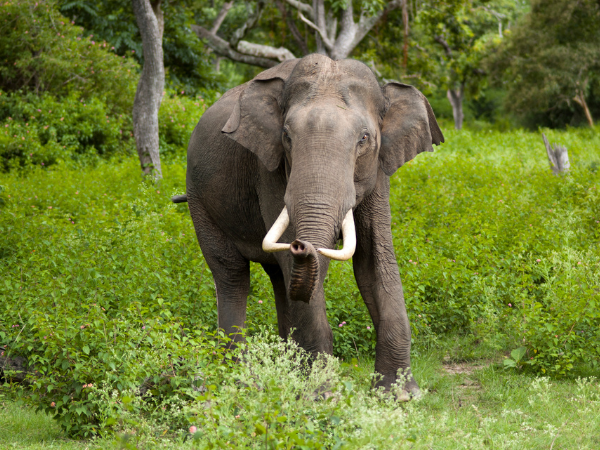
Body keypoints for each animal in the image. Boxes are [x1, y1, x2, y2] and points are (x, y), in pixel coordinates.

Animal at [171, 53, 442, 398]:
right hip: (199, 200)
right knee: (232, 274)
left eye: (364, 139)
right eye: (287, 137)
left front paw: (401, 395)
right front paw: (322, 394)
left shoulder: (379, 170)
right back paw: (240, 378)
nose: (302, 245)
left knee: (278, 278)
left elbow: (375, 260)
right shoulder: (269, 168)